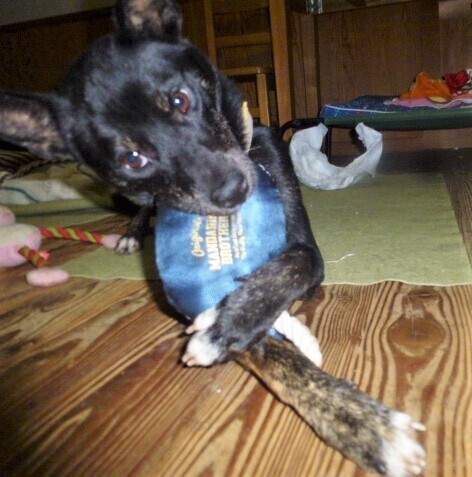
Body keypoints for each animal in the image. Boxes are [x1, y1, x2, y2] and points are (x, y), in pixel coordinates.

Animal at [0, 1, 426, 475]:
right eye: (133, 158)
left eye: (181, 100)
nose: (233, 191)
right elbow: (269, 350)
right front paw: (357, 419)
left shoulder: (303, 244)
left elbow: (291, 267)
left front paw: (231, 322)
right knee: (142, 204)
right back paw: (133, 233)